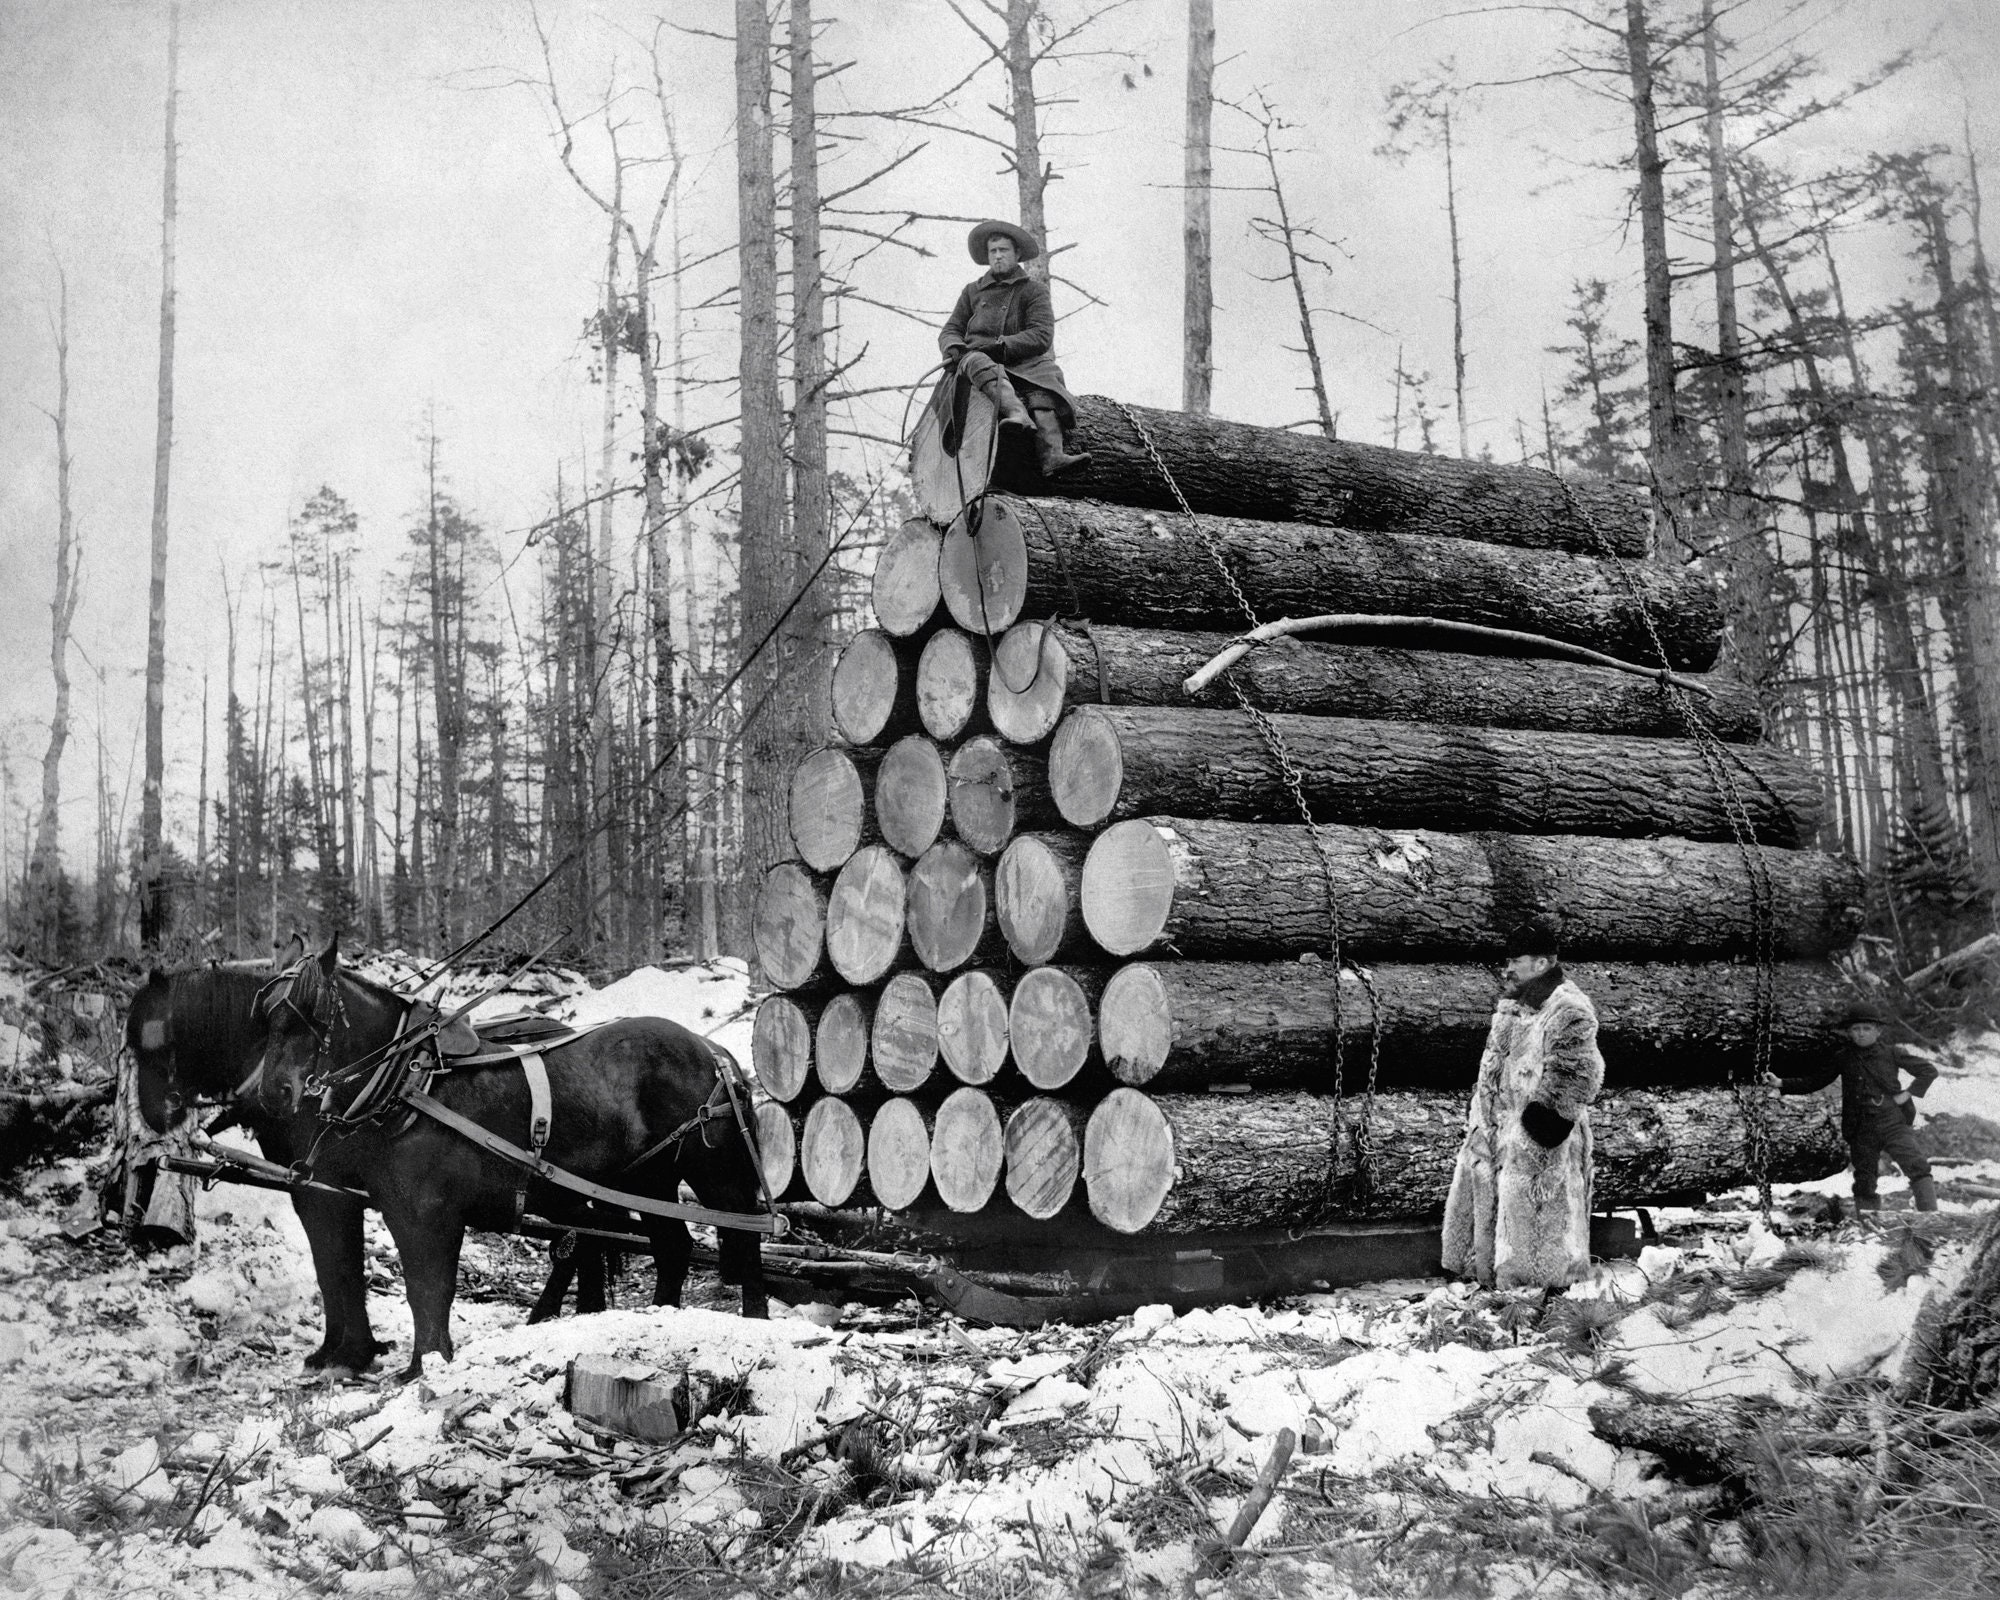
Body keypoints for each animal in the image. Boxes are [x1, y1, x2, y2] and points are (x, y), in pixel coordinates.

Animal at [254, 936, 768, 1376]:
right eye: (267, 1017)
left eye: (309, 1012)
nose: (273, 1094)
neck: (409, 1080)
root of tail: (712, 1050)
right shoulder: (398, 1209)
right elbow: (419, 1288)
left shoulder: (430, 1212)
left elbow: (430, 1287)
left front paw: (428, 1364)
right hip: (646, 1180)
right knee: (673, 1247)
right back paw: (660, 1318)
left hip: (712, 1173)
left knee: (745, 1234)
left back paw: (757, 1319)